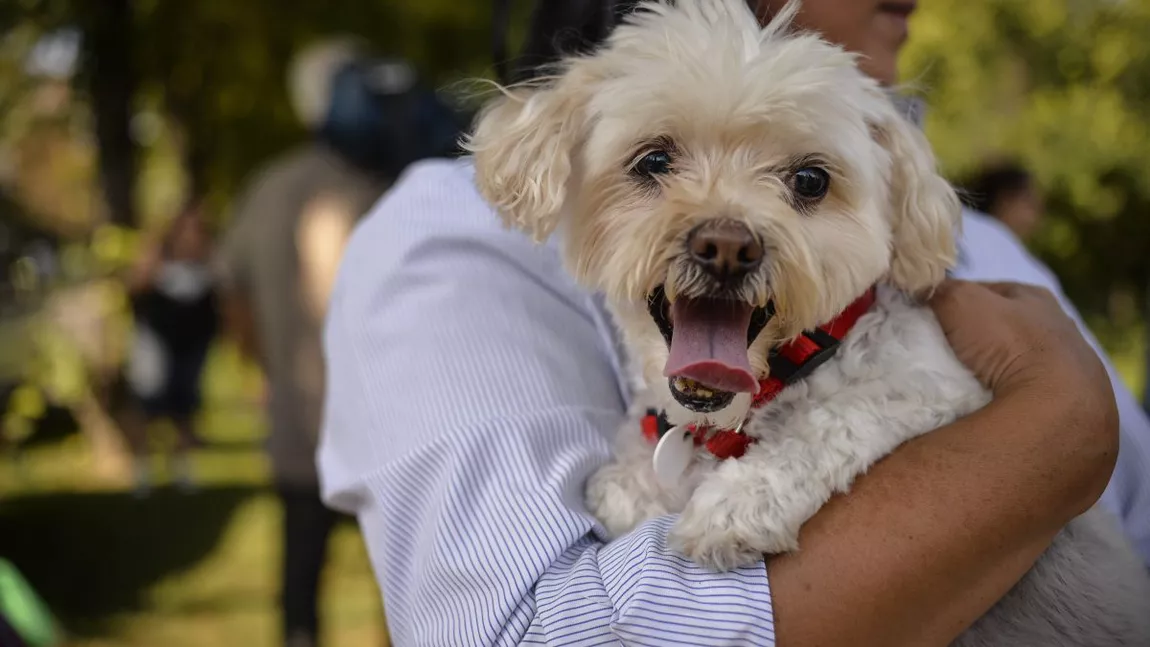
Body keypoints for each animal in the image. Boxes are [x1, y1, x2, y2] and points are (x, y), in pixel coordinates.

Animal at [466, 0, 1150, 638]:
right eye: (654, 161)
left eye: (811, 179)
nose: (726, 245)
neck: (755, 400)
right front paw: (633, 484)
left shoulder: (938, 389)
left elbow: (841, 418)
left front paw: (738, 504)